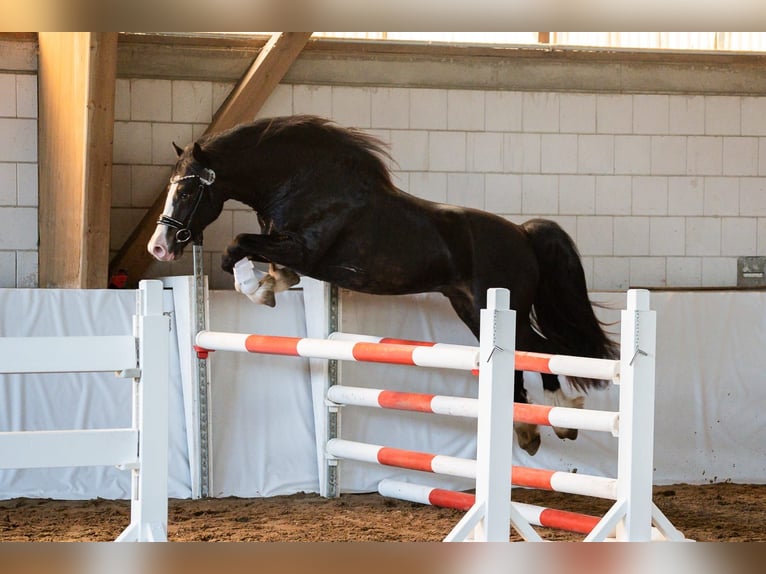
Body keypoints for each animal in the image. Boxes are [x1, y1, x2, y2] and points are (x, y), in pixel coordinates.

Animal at [148, 115, 616, 456]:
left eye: (186, 194)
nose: (160, 246)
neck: (302, 182)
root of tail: (522, 234)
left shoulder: (305, 250)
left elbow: (236, 247)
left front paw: (258, 288)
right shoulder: (289, 248)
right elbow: (262, 260)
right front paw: (271, 285)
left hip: (499, 304)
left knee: (537, 349)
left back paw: (559, 417)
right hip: (472, 308)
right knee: (525, 353)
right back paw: (530, 427)